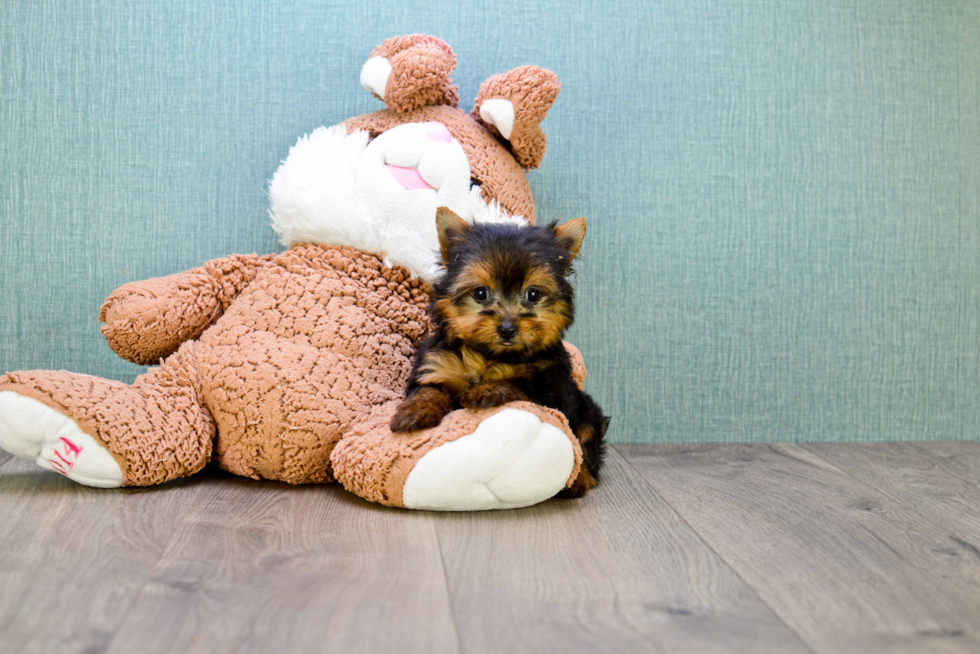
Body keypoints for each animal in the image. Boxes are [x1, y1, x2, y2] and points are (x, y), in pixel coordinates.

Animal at [388, 208, 604, 500]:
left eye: (533, 294)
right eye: (481, 293)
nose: (507, 328)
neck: (489, 355)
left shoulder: (551, 384)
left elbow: (519, 382)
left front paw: (486, 390)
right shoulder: (437, 364)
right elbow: (429, 389)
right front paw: (414, 413)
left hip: (587, 410)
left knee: (585, 442)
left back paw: (579, 480)